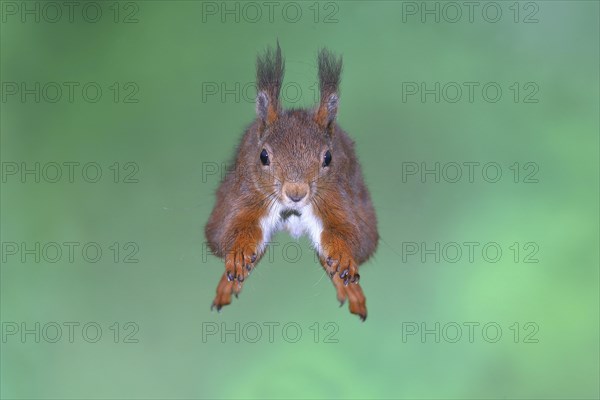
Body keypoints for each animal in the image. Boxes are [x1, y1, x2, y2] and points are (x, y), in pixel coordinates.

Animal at [204, 42, 378, 320]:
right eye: (263, 156)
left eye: (328, 157)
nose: (296, 193)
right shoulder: (244, 196)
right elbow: (232, 230)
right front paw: (239, 252)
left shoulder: (340, 199)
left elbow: (349, 234)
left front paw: (342, 256)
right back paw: (228, 285)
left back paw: (349, 288)